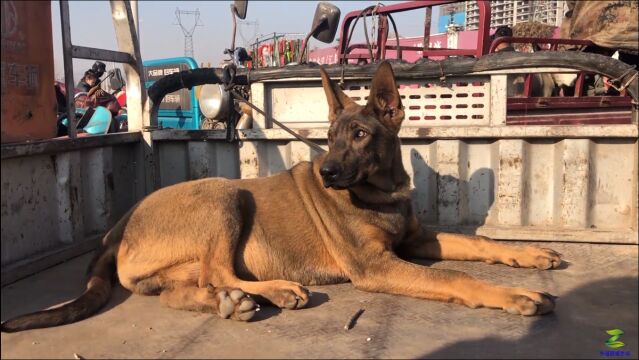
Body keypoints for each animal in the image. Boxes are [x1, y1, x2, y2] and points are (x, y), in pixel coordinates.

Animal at [0, 61, 560, 332]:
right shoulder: (376, 265)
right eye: (330, 135)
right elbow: (454, 275)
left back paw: (231, 304)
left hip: (181, 262)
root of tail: (121, 226)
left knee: (194, 285)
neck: (379, 193)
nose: (327, 171)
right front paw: (514, 295)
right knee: (220, 269)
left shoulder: (415, 242)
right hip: (225, 198)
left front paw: (531, 254)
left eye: (361, 134)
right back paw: (277, 290)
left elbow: (478, 244)